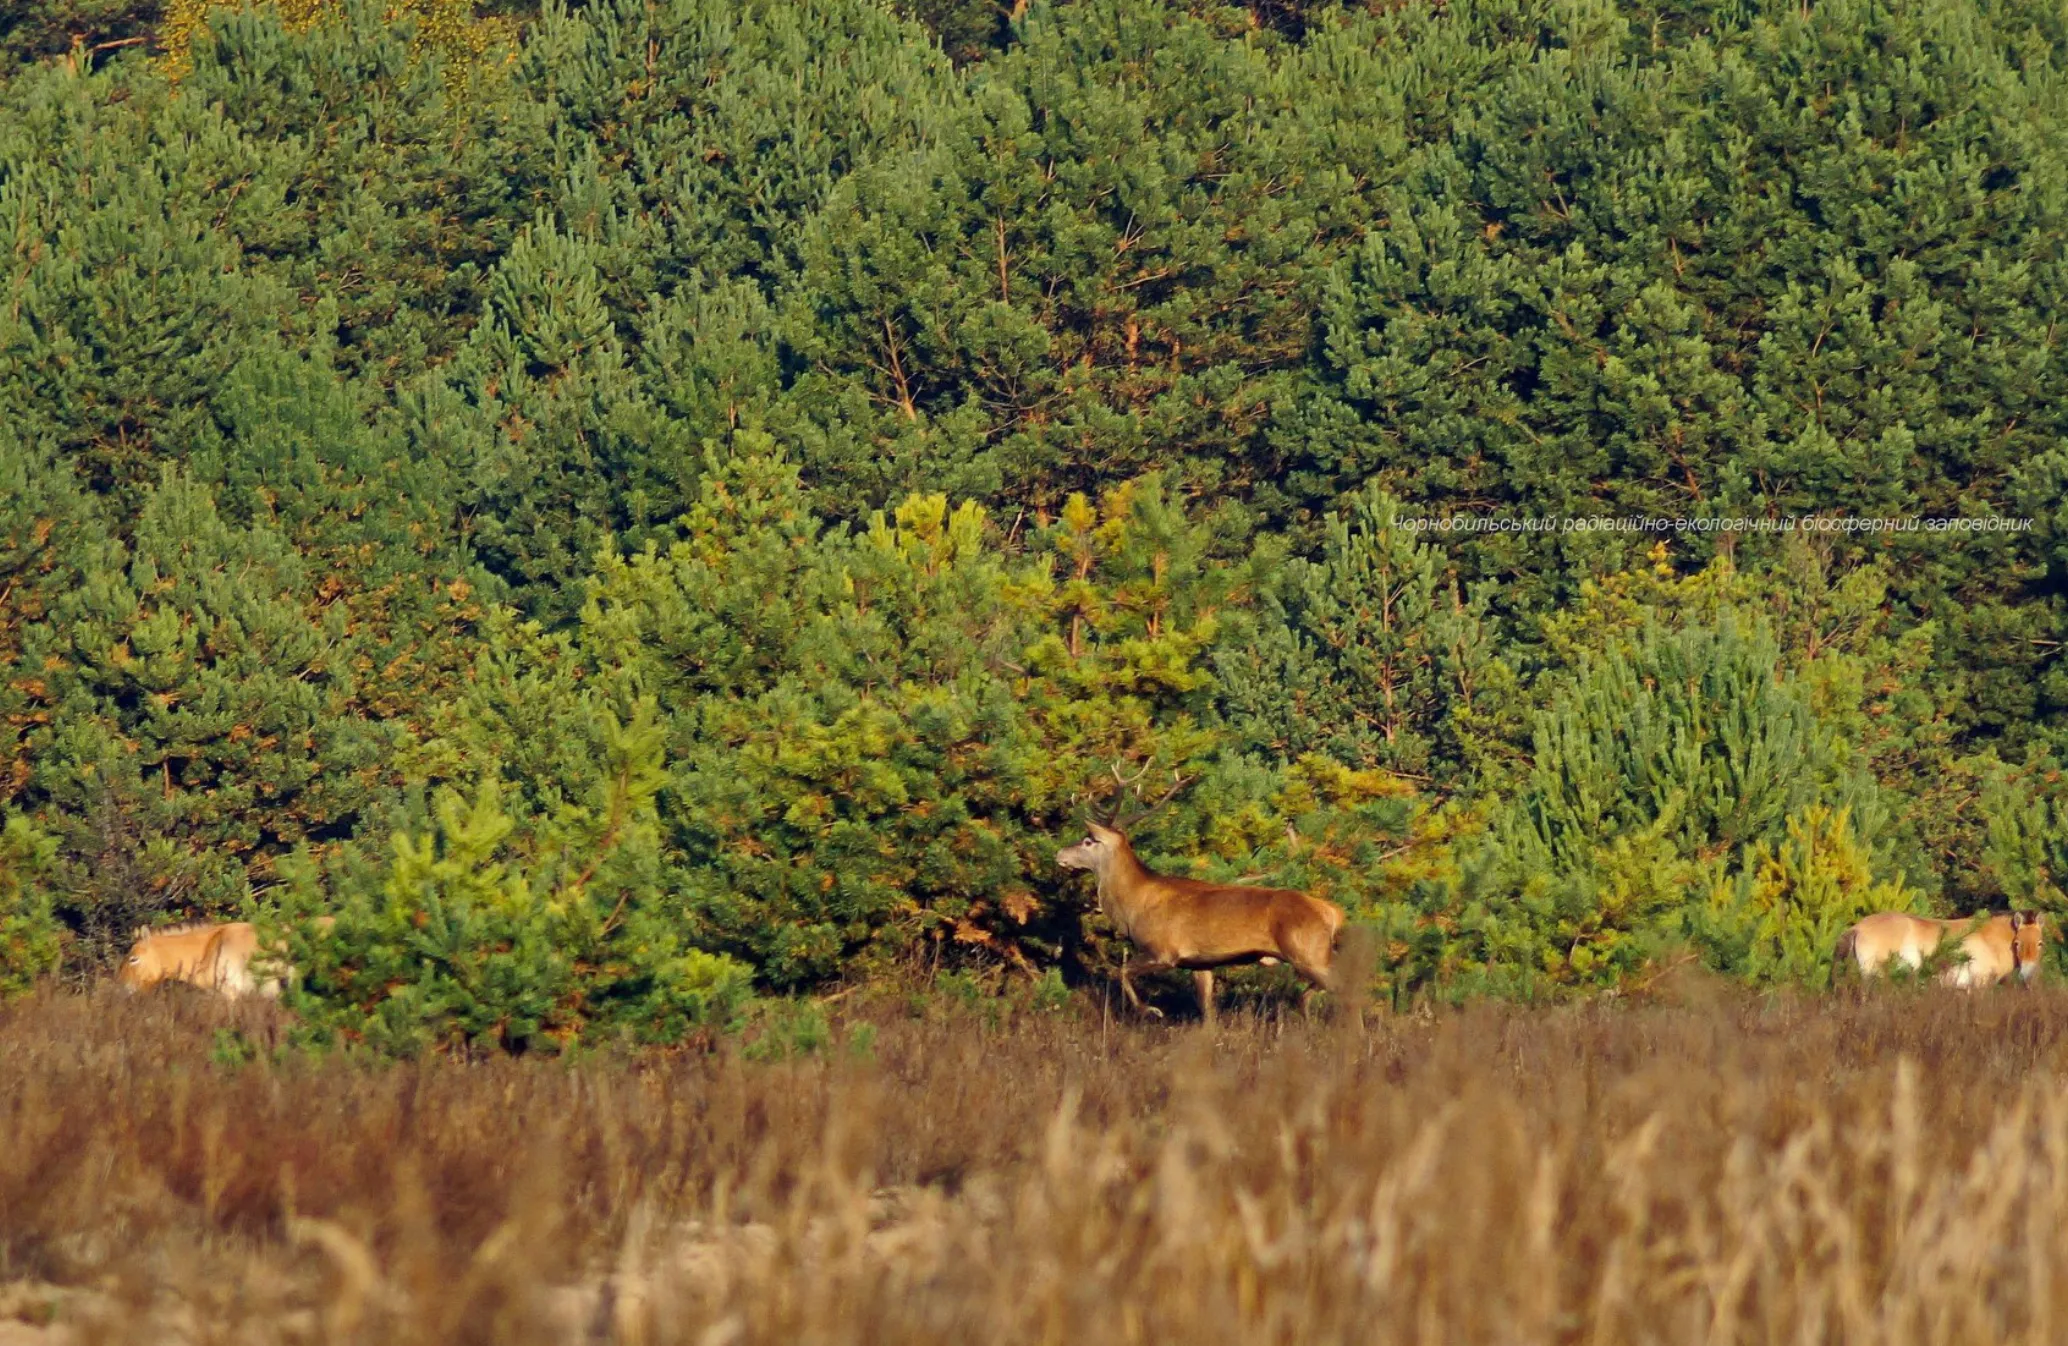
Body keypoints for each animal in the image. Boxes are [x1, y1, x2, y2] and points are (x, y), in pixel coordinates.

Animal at [1058, 769, 1348, 1021]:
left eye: (1088, 841)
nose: (1059, 853)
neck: (1133, 906)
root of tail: (1332, 912)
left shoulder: (1163, 950)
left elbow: (1122, 971)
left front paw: (1151, 1011)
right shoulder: (1199, 963)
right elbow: (1207, 1012)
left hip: (1308, 951)